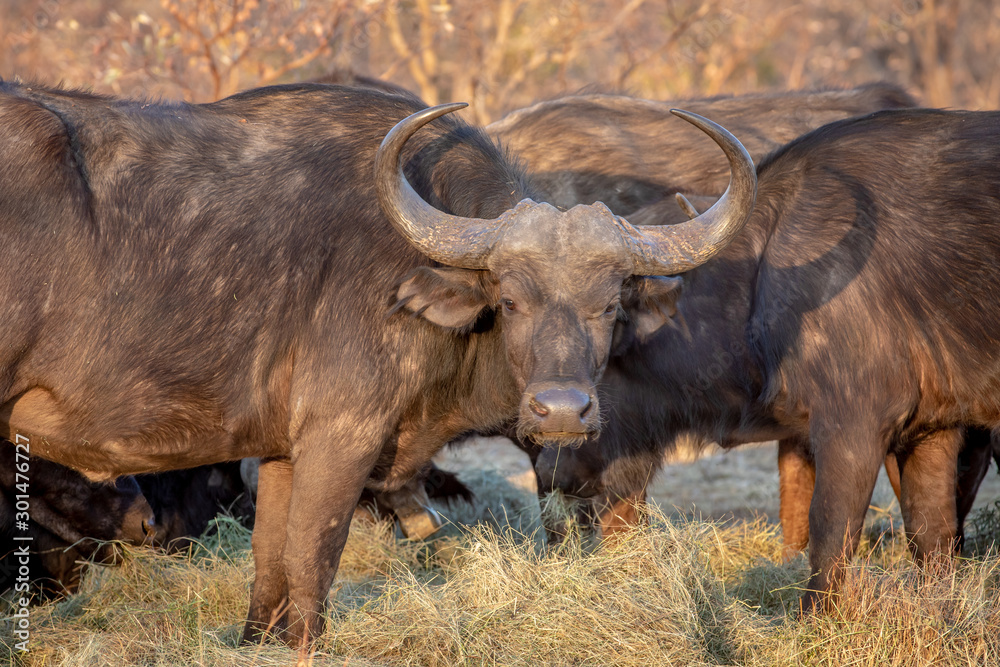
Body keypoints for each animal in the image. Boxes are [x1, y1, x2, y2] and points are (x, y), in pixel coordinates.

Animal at [0, 80, 754, 644]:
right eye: (510, 299)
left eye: (611, 303)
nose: (563, 412)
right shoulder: (344, 436)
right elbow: (310, 571)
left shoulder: (281, 453)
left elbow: (269, 577)